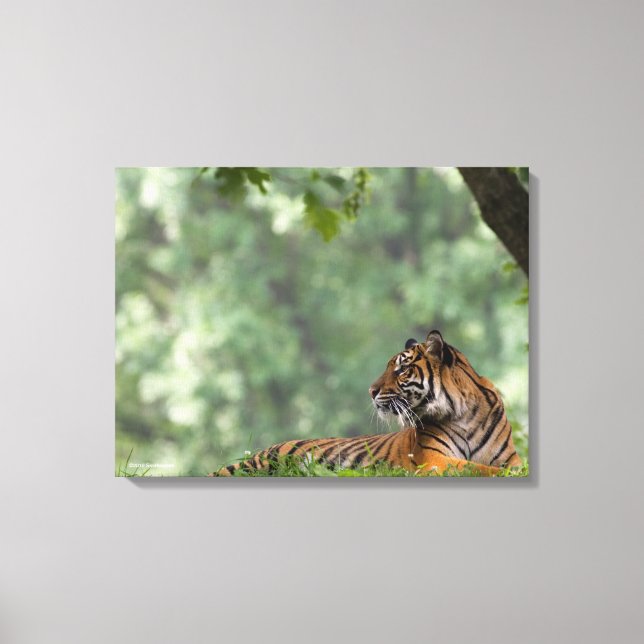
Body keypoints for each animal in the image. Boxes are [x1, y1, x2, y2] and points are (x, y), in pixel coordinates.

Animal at [209, 330, 523, 476]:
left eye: (401, 369)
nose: (371, 391)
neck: (464, 413)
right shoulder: (434, 459)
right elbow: (479, 468)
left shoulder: (510, 458)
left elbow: (500, 467)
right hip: (258, 465)